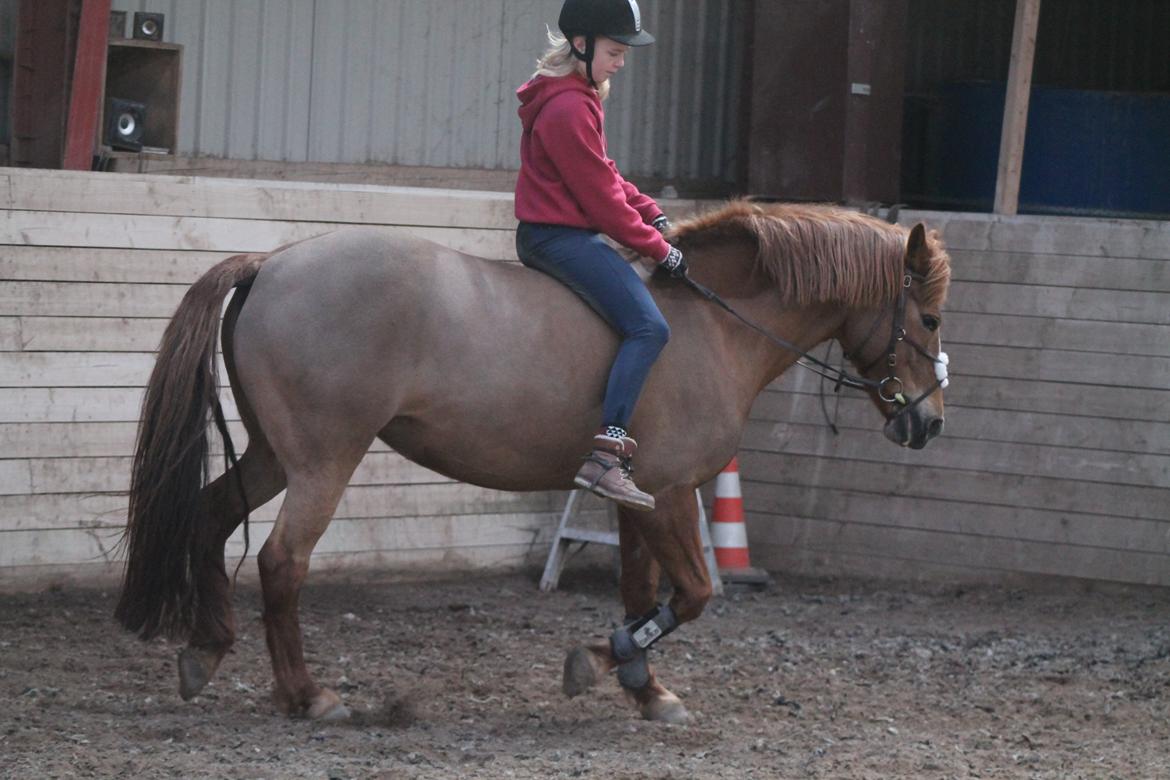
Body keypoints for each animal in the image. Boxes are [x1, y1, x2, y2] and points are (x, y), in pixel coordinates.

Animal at [114, 203, 950, 725]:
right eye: (932, 317)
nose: (930, 422)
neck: (711, 323)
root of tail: (271, 264)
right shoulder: (673, 490)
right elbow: (694, 595)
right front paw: (605, 661)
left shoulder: (638, 496)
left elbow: (639, 590)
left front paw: (643, 687)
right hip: (324, 459)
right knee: (282, 562)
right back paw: (306, 695)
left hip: (275, 454)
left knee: (212, 517)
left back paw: (206, 652)